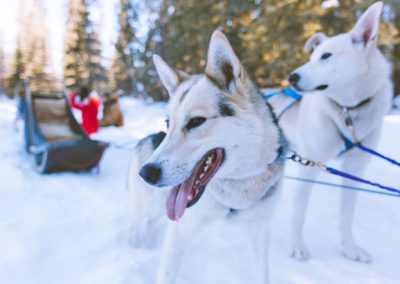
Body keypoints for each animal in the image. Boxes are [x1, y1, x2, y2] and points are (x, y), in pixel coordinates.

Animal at [128, 30, 288, 282]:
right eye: (168, 123)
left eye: (196, 121)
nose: (146, 172)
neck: (236, 192)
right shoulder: (179, 233)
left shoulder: (259, 233)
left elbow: (262, 273)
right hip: (145, 205)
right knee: (136, 223)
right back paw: (134, 249)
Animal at [270, 2, 392, 262]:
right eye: (312, 56)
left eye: (326, 56)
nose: (291, 77)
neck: (348, 113)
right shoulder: (311, 164)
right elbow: (299, 213)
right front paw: (297, 246)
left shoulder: (354, 170)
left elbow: (346, 217)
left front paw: (350, 248)